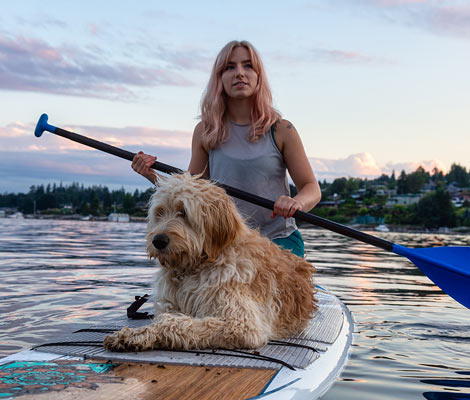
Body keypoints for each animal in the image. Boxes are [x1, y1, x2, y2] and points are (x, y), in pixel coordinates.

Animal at [103, 173, 316, 352]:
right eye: (160, 212)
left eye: (183, 212)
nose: (158, 241)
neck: (194, 267)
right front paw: (133, 334)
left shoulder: (241, 323)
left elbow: (177, 323)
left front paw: (135, 335)